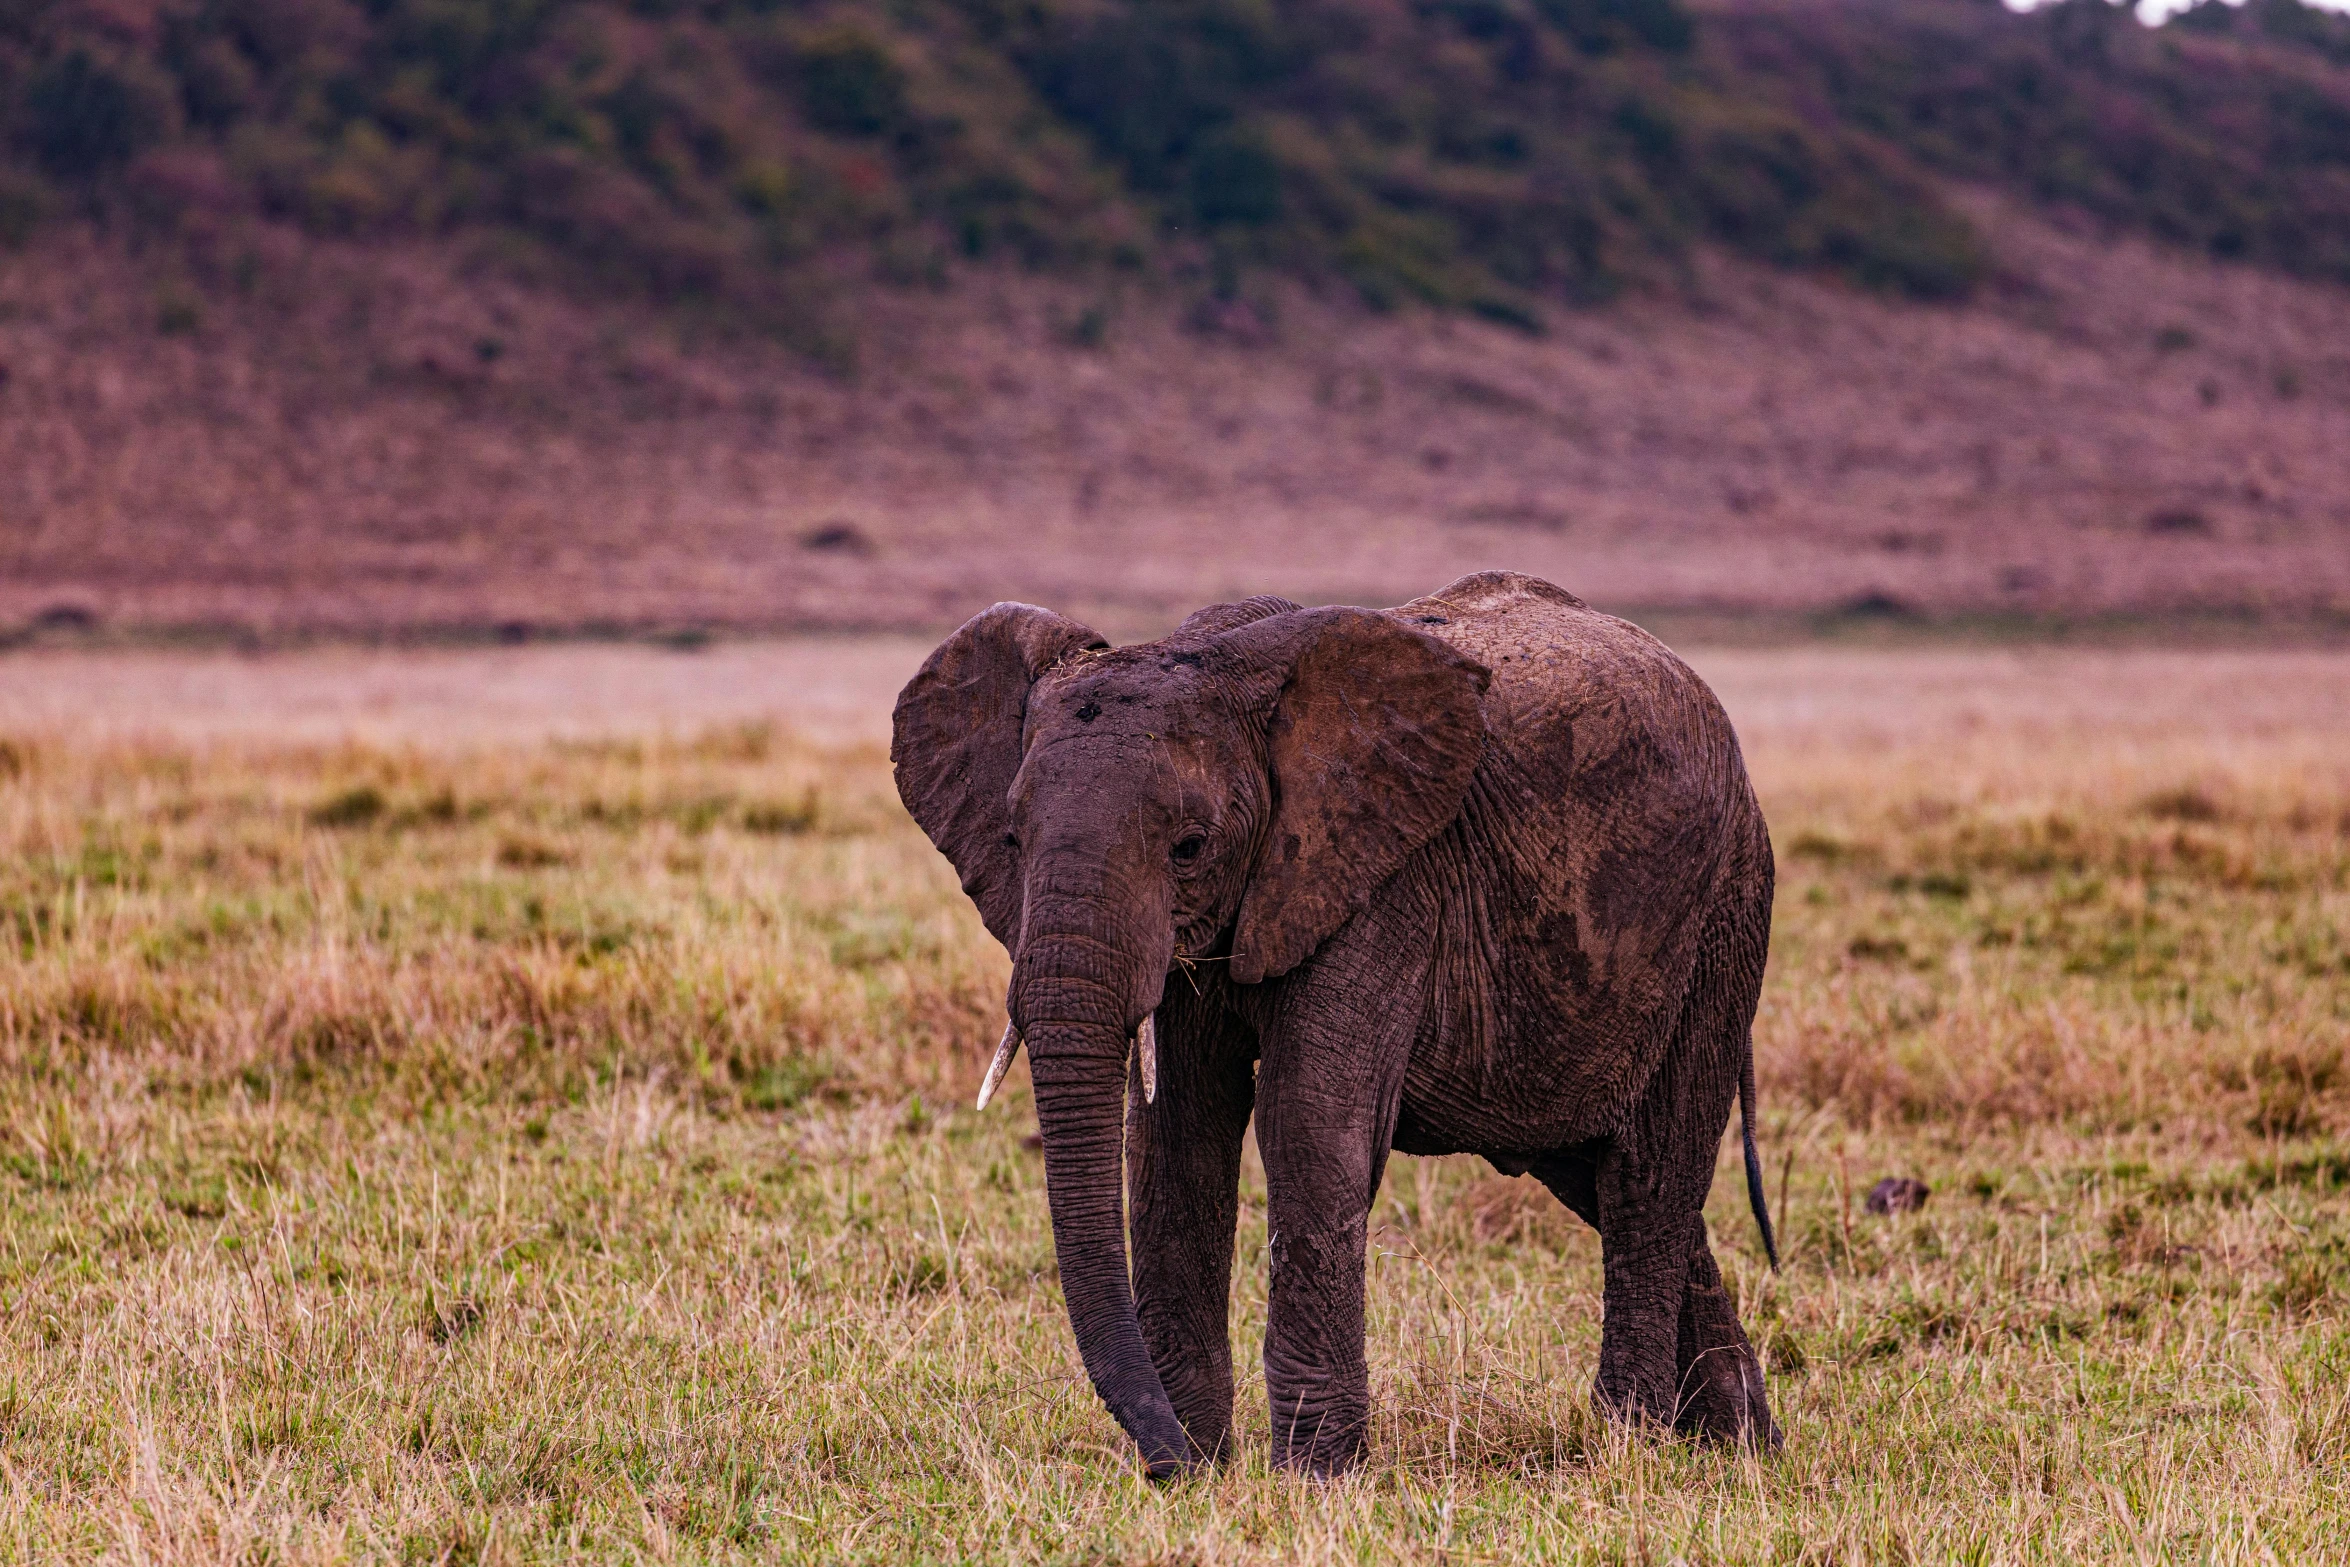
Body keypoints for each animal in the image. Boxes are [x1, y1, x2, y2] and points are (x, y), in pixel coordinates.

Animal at [888, 570, 1767, 1475]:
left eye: (1190, 847)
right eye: (1011, 838)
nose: (1168, 1462)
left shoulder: (1384, 875)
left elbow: (1310, 1121)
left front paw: (1312, 1474)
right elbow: (1178, 1133)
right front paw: (1205, 1461)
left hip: (1723, 918)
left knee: (1648, 1174)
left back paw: (1631, 1441)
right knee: (1597, 1171)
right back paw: (1739, 1441)